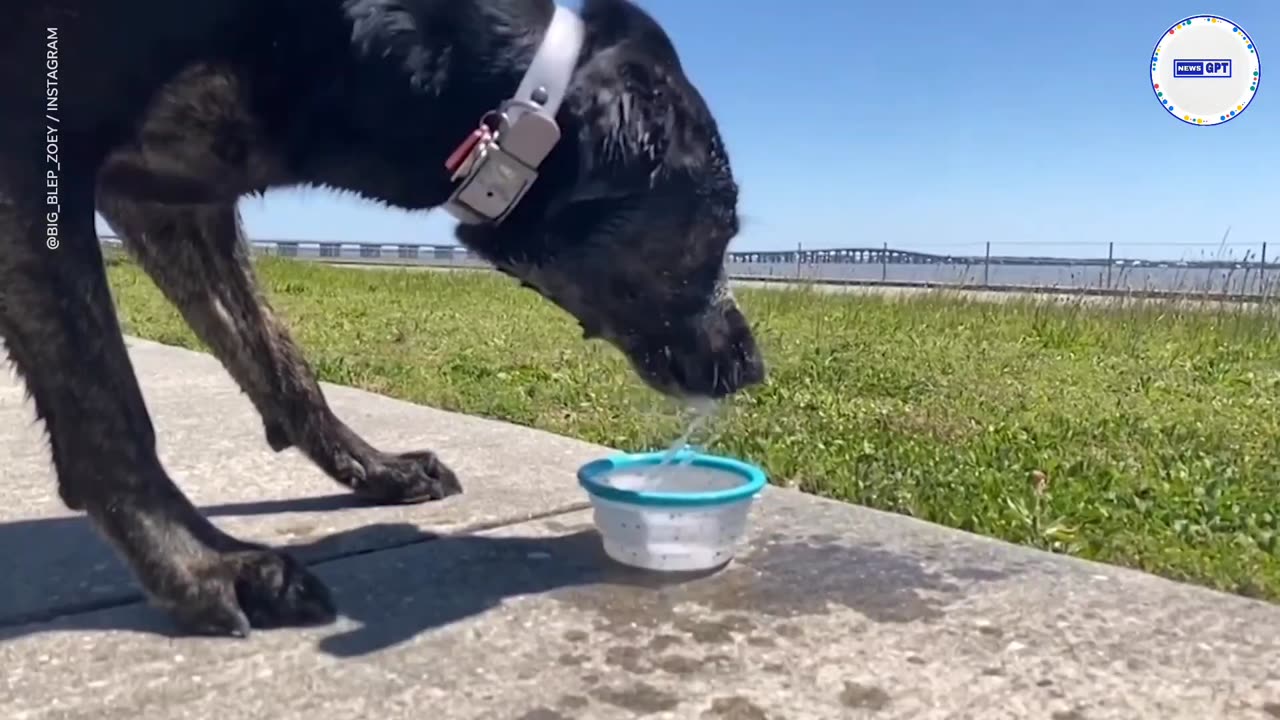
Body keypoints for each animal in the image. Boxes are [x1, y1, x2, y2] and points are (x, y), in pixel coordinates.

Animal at [0, 0, 757, 632]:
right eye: (721, 222)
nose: (754, 366)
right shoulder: (34, 145)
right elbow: (109, 411)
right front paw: (205, 565)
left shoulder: (171, 196)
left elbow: (278, 359)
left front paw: (374, 469)